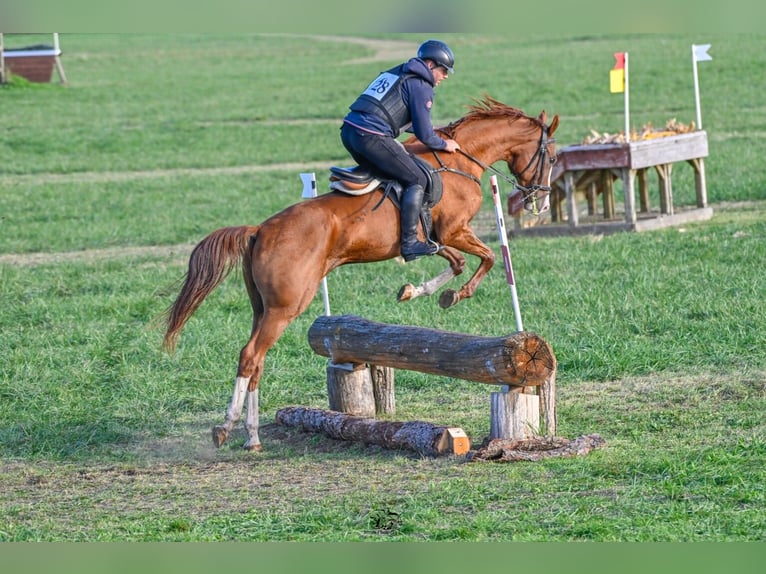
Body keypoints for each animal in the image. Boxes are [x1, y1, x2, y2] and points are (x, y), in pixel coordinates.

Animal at [164, 95, 560, 454]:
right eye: (553, 158)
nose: (540, 201)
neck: (459, 161)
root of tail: (260, 229)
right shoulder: (454, 230)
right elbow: (488, 257)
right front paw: (455, 294)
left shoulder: (435, 238)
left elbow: (455, 262)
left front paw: (417, 290)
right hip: (284, 307)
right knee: (250, 356)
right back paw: (229, 427)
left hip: (261, 308)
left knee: (256, 362)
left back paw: (251, 436)